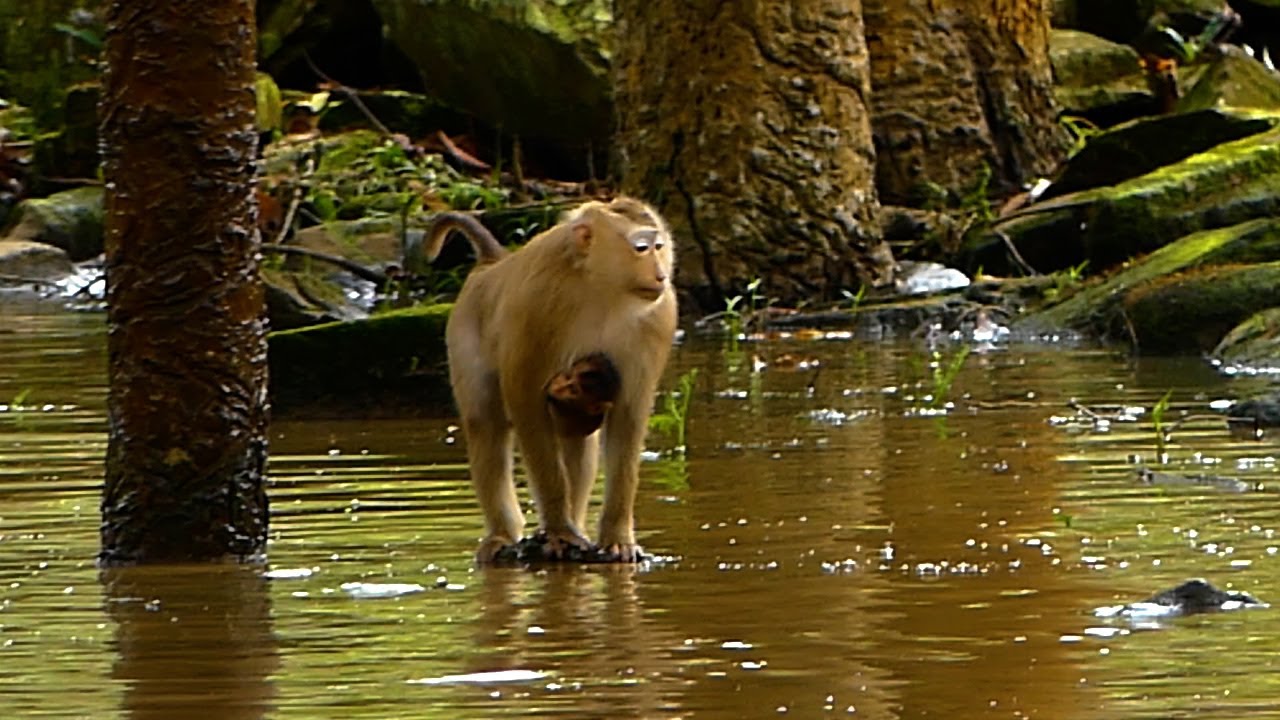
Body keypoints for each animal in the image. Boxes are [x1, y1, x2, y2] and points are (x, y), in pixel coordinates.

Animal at [420, 198, 678, 562]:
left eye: (659, 247)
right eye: (641, 248)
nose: (660, 274)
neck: (600, 288)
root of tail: (493, 263)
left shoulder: (659, 317)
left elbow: (627, 418)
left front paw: (617, 536)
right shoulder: (536, 304)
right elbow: (526, 399)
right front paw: (558, 529)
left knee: (576, 435)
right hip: (464, 331)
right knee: (486, 424)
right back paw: (503, 534)